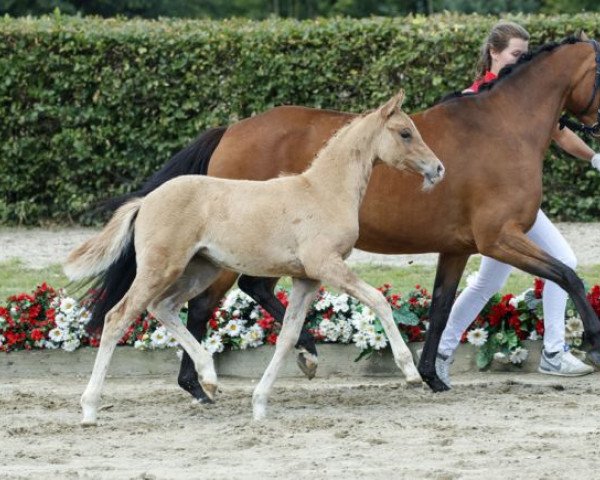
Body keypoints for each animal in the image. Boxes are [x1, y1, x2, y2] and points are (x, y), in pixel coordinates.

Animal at [65, 91, 446, 424]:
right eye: (405, 132)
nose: (439, 168)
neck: (323, 192)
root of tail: (146, 201)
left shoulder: (307, 278)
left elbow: (289, 336)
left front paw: (261, 403)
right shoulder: (327, 265)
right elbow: (378, 300)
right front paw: (410, 371)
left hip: (200, 269)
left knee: (164, 308)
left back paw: (208, 378)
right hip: (162, 268)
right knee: (119, 317)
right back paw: (90, 409)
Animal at [91, 35, 600, 400]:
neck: (502, 128)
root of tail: (231, 130)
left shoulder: (458, 248)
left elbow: (440, 308)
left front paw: (430, 376)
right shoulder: (500, 238)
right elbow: (568, 276)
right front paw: (593, 344)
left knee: (240, 293)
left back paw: (288, 356)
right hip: (227, 252)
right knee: (204, 304)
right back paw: (205, 382)